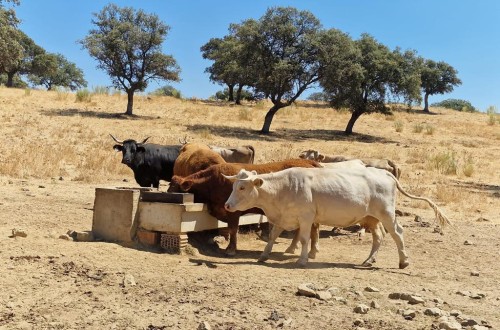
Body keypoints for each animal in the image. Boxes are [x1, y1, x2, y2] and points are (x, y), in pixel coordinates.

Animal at [168, 159, 322, 255]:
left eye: (175, 189)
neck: (213, 182)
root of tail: (309, 162)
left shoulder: (232, 212)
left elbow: (233, 229)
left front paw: (231, 249)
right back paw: (295, 248)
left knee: (312, 227)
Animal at [225, 168, 452, 268]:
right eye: (234, 185)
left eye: (242, 187)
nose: (227, 205)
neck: (284, 187)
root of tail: (385, 173)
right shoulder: (283, 217)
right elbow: (272, 236)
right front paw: (263, 255)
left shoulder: (306, 218)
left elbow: (304, 239)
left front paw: (302, 259)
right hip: (371, 218)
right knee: (379, 237)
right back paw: (369, 260)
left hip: (386, 213)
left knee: (397, 233)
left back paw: (404, 261)